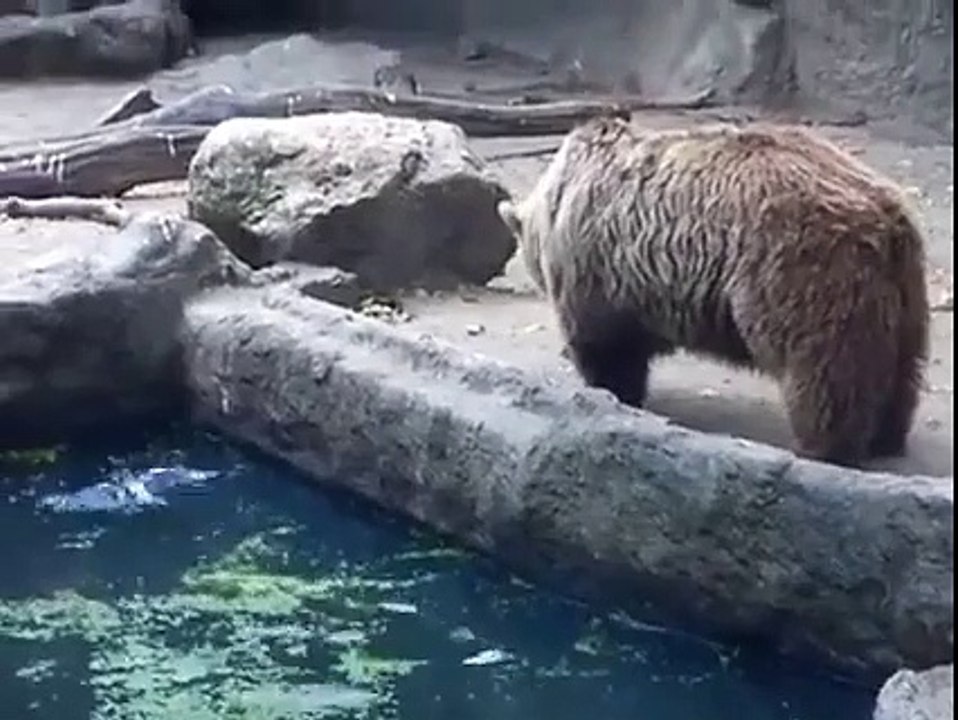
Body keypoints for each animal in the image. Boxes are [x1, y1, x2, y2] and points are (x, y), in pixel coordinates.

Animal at [497, 116, 930, 467]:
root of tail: (883, 215)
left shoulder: (595, 267)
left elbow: (605, 345)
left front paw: (611, 391)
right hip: (902, 289)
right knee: (902, 366)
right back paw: (886, 436)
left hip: (800, 267)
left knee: (825, 367)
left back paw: (822, 446)